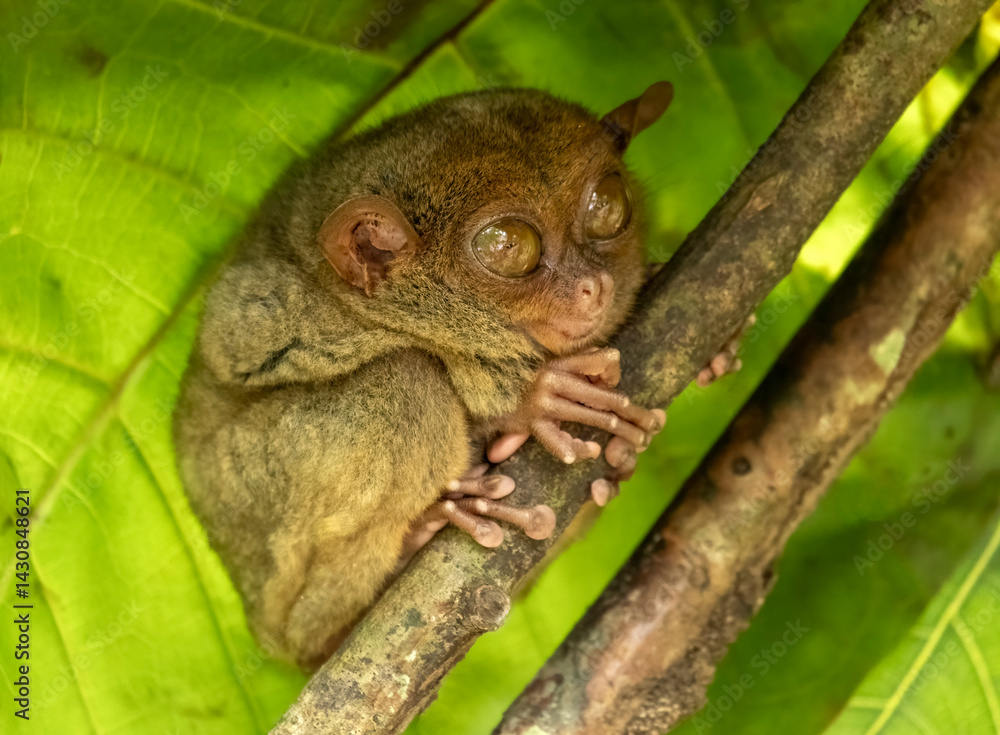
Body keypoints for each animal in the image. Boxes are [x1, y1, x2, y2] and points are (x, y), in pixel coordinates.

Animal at [173, 80, 737, 671]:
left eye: (606, 207)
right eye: (507, 247)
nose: (594, 286)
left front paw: (708, 338)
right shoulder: (283, 310)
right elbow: (253, 340)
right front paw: (535, 398)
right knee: (405, 382)